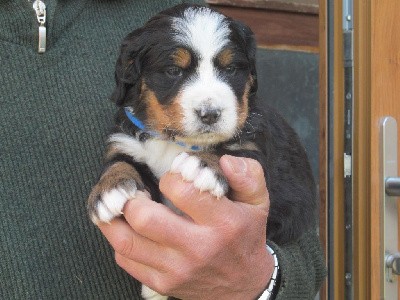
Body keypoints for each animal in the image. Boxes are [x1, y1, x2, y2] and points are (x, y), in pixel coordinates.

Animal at [87, 4, 316, 300]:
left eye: (231, 69)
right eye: (174, 70)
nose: (210, 114)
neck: (175, 141)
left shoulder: (250, 147)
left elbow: (224, 150)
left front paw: (202, 166)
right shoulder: (124, 140)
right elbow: (118, 163)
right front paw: (110, 189)